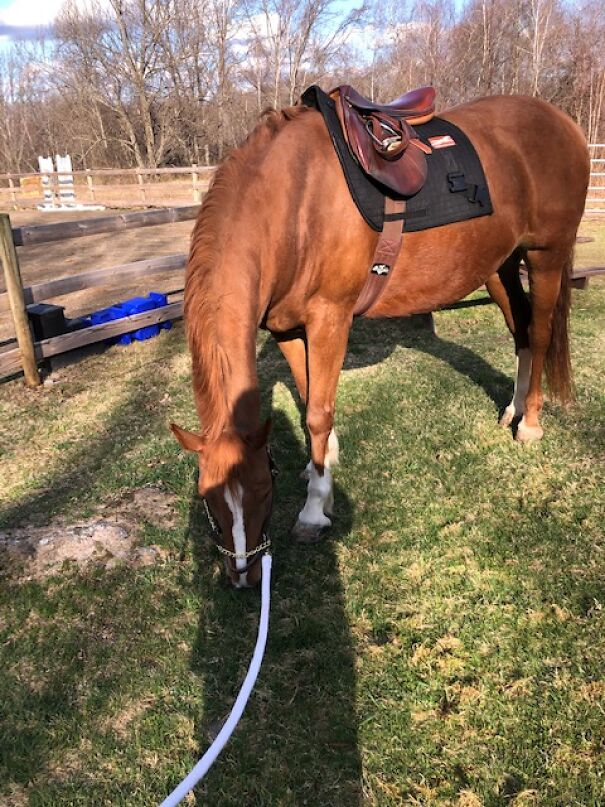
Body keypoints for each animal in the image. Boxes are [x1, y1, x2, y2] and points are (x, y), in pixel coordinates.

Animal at [171, 92, 589, 588]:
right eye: (207, 498)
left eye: (262, 491)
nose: (244, 575)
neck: (292, 203)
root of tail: (561, 121)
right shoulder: (289, 329)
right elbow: (311, 400)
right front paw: (324, 468)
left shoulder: (330, 318)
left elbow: (317, 414)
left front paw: (314, 511)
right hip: (499, 264)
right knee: (521, 330)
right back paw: (514, 409)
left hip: (546, 256)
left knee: (540, 334)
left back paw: (530, 424)